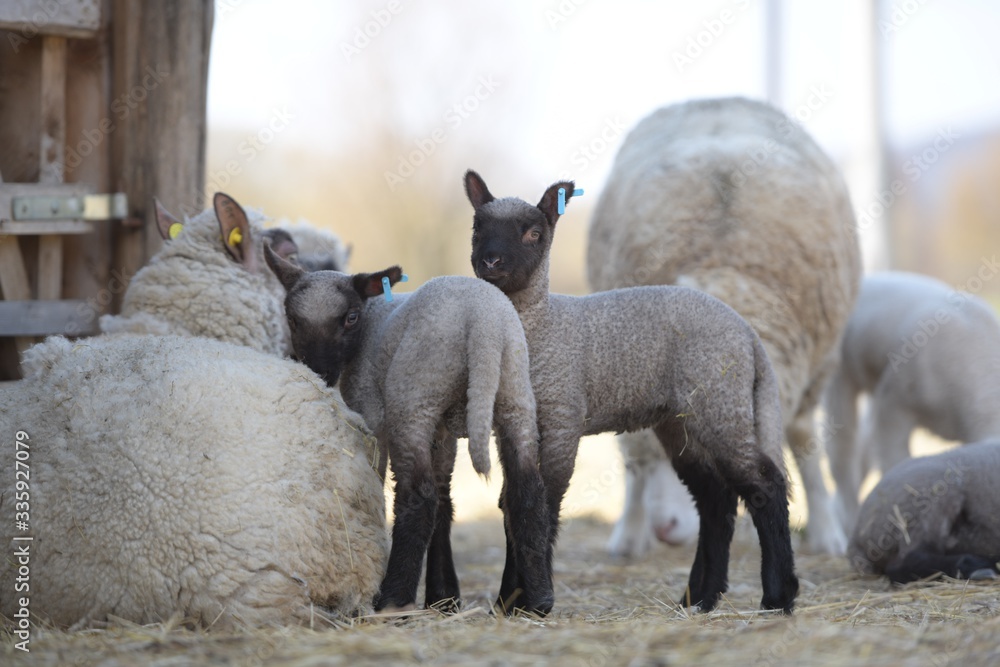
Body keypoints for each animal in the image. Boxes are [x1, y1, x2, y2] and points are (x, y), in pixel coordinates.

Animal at [264, 246, 552, 615]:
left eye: (350, 318)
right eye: (294, 319)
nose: (320, 372)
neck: (372, 316)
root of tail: (482, 323)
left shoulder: (371, 413)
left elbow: (383, 486)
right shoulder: (442, 430)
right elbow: (445, 499)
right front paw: (444, 597)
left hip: (413, 398)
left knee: (418, 497)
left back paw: (392, 597)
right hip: (514, 396)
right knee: (527, 490)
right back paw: (537, 600)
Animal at [465, 170, 800, 613]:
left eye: (533, 233)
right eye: (476, 228)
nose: (490, 262)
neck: (543, 325)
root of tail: (747, 332)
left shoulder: (562, 416)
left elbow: (545, 502)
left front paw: (535, 601)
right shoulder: (510, 427)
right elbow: (513, 504)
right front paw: (509, 602)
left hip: (719, 400)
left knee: (765, 486)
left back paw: (778, 596)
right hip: (679, 420)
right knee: (715, 499)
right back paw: (699, 598)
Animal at [588, 97, 861, 557]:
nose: (665, 528)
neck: (726, 265)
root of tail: (710, 100)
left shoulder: (819, 368)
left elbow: (804, 443)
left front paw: (827, 534)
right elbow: (634, 464)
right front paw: (632, 529)